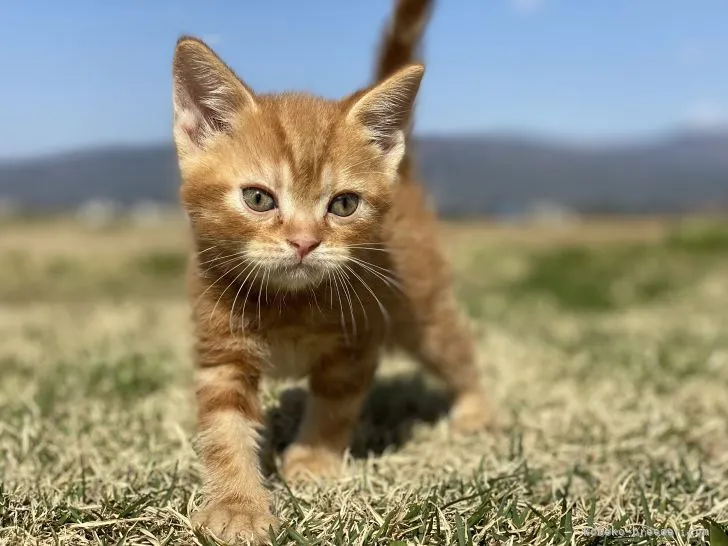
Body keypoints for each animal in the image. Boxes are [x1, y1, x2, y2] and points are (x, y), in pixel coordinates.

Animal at [171, 0, 490, 540]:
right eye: (259, 198)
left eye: (343, 204)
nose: (304, 241)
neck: (289, 303)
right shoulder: (221, 350)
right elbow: (224, 429)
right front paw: (237, 505)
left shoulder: (356, 343)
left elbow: (335, 405)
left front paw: (313, 461)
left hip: (421, 312)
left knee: (457, 349)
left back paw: (477, 409)